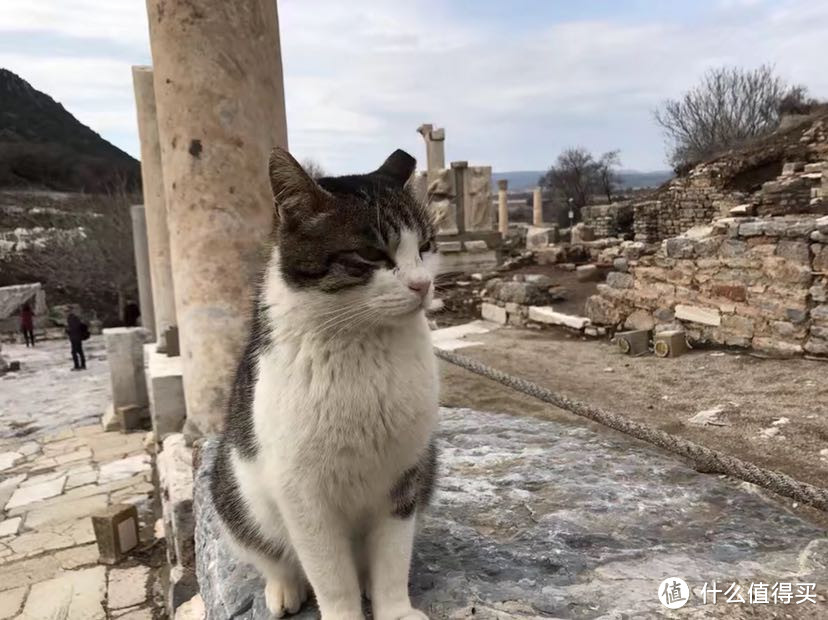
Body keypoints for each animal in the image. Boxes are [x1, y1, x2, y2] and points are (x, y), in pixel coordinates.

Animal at [212, 147, 440, 620]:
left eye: (426, 247)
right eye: (372, 253)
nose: (422, 284)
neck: (363, 346)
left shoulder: (405, 474)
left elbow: (393, 558)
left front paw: (394, 608)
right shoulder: (302, 495)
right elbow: (331, 577)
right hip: (233, 491)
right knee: (270, 553)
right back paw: (284, 587)